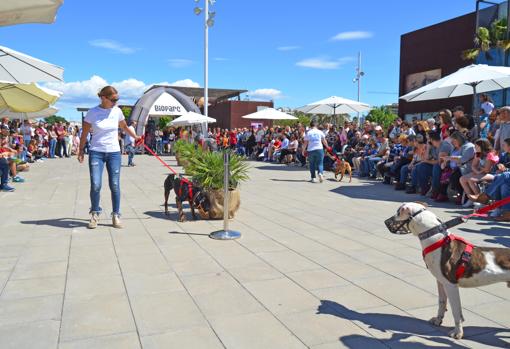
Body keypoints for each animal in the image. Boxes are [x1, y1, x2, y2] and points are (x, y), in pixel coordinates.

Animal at [386, 201, 510, 338]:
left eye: (398, 212)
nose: (385, 222)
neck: (434, 237)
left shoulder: (451, 284)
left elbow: (456, 311)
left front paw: (458, 332)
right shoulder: (441, 282)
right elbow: (442, 302)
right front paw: (438, 320)